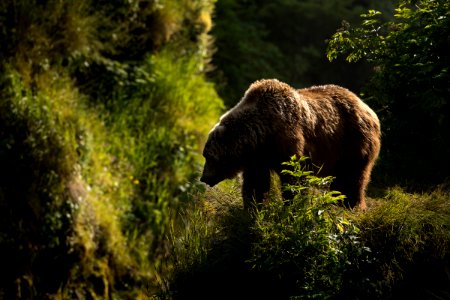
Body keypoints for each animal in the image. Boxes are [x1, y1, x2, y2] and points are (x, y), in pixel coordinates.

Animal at [200, 78, 380, 210]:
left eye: (209, 156)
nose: (204, 178)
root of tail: (367, 107)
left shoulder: (287, 140)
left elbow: (293, 176)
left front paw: (293, 205)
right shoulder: (258, 157)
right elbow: (256, 183)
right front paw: (253, 208)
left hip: (353, 142)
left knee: (352, 177)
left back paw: (351, 205)